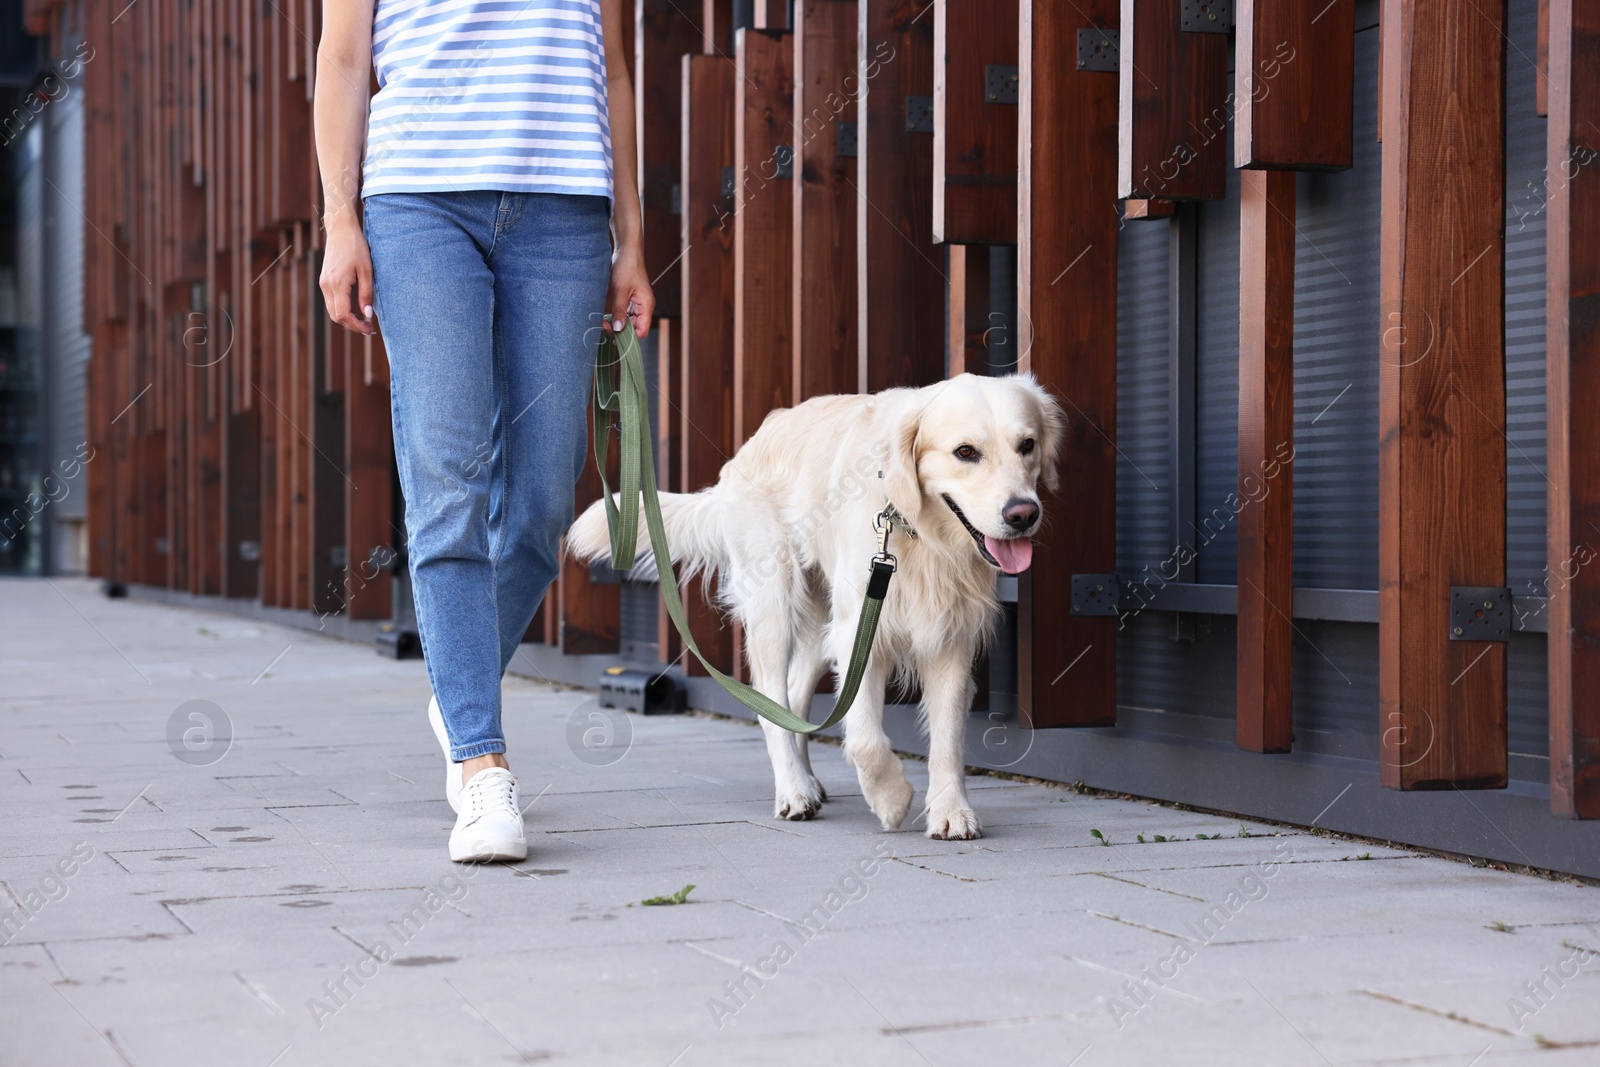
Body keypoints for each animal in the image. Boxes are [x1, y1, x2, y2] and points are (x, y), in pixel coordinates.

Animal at [569, 375, 1068, 844]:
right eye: (965, 452)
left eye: (1027, 445)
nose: (1023, 514)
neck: (918, 532)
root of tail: (749, 446)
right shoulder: (859, 630)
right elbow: (864, 736)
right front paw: (890, 798)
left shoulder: (949, 637)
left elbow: (947, 739)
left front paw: (950, 811)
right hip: (774, 605)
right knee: (770, 700)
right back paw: (793, 790)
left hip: (815, 625)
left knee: (792, 700)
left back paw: (807, 780)